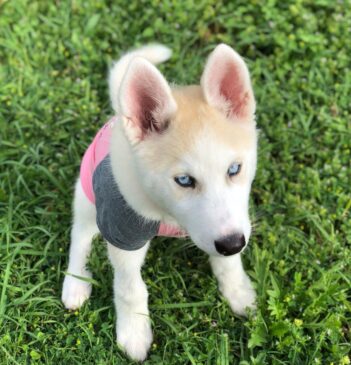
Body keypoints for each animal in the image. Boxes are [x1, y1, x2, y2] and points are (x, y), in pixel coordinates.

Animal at [62, 44, 258, 360]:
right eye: (184, 180)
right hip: (88, 198)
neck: (167, 213)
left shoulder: (229, 225)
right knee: (80, 237)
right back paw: (76, 282)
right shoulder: (123, 232)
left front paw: (238, 292)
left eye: (234, 169)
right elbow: (130, 289)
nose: (232, 244)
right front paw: (134, 333)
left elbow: (227, 263)